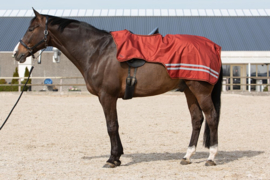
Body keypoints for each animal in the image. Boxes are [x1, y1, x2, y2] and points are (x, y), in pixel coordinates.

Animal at [12, 8, 223, 167]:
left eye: (32, 28)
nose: (17, 53)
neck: (97, 51)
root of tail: (213, 46)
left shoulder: (107, 96)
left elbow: (111, 126)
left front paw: (112, 159)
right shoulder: (108, 97)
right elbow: (115, 124)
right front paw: (118, 156)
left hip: (200, 91)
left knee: (212, 117)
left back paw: (211, 157)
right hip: (189, 91)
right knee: (197, 120)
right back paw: (187, 156)